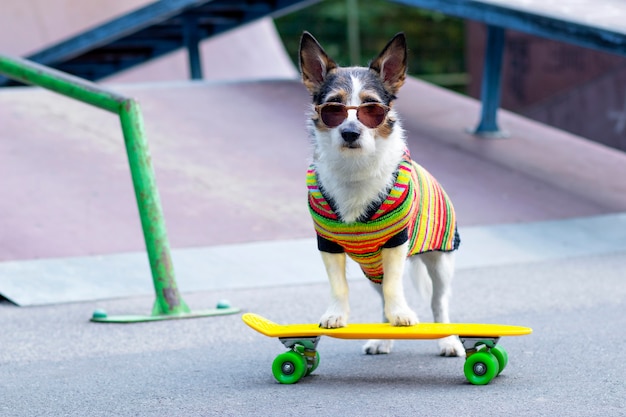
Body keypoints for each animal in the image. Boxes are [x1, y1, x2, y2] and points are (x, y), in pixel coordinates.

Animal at [298, 30, 464, 356]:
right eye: (333, 108)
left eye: (370, 108)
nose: (350, 132)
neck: (355, 168)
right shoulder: (328, 245)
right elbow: (339, 285)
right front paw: (336, 314)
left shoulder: (395, 243)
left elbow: (394, 287)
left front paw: (403, 314)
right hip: (371, 268)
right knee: (383, 298)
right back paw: (383, 337)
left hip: (440, 262)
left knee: (438, 302)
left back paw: (448, 340)